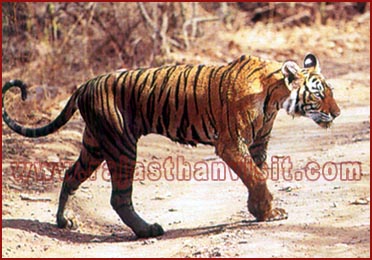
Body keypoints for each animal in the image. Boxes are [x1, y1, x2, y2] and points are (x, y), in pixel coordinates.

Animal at [2, 53, 340, 239]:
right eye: (318, 93)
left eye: (331, 92)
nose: (337, 113)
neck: (275, 97)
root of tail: (85, 85)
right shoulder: (231, 144)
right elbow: (257, 177)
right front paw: (266, 212)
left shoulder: (258, 144)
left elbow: (258, 176)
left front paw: (261, 211)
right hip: (121, 145)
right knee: (119, 198)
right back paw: (146, 231)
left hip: (95, 145)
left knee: (71, 174)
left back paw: (63, 221)